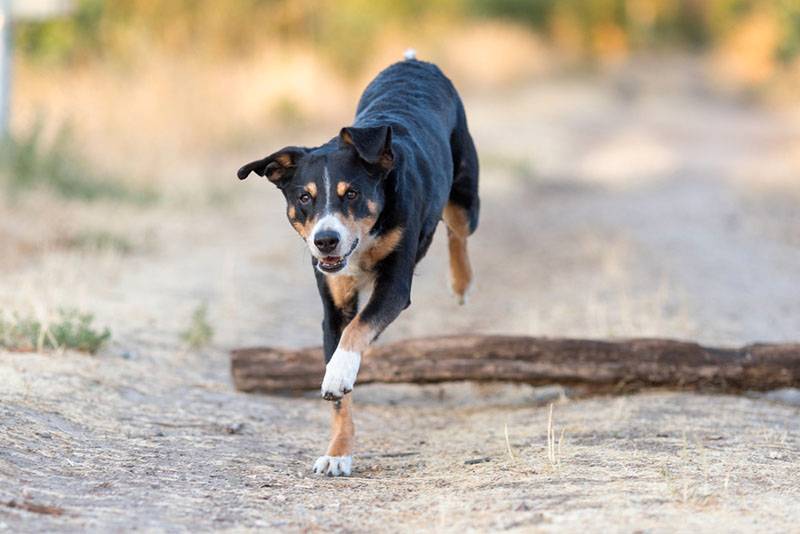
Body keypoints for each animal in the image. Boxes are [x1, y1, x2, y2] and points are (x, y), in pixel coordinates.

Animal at [234, 52, 478, 480]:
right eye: (304, 197)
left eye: (352, 194)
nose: (325, 240)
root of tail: (415, 62)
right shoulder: (333, 306)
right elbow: (340, 389)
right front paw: (338, 452)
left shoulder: (394, 287)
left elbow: (358, 330)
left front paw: (339, 372)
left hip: (467, 194)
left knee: (457, 228)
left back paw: (461, 283)